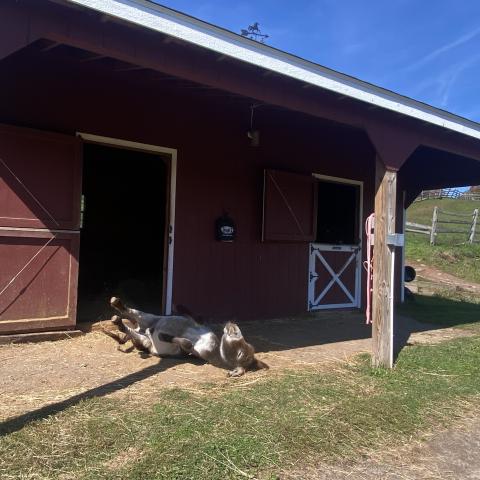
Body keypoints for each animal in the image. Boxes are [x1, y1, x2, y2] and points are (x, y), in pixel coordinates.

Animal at [106, 296, 268, 378]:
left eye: (241, 352)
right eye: (246, 343)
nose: (232, 323)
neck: (215, 347)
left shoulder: (192, 351)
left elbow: (186, 343)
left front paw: (165, 336)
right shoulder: (200, 327)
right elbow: (193, 318)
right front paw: (180, 308)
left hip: (145, 336)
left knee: (130, 328)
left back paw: (119, 321)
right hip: (149, 318)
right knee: (133, 315)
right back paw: (117, 305)